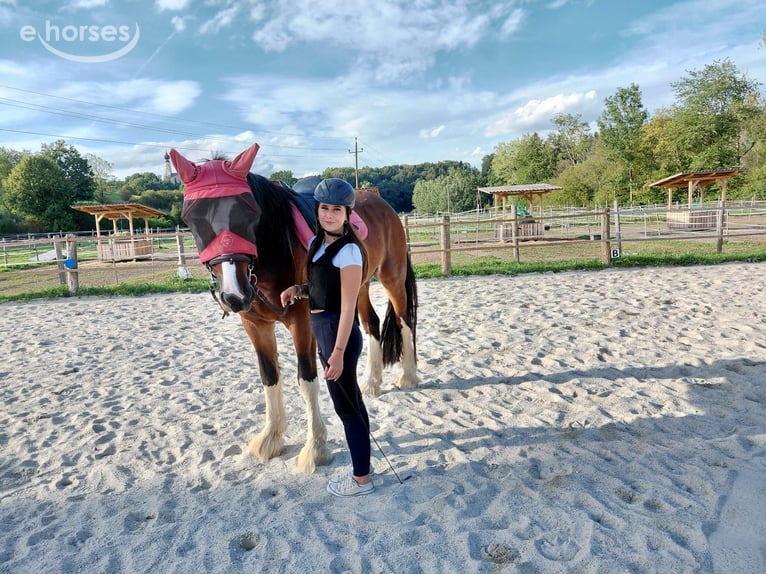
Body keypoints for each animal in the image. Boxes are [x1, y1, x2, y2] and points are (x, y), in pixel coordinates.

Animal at [169, 143, 418, 473]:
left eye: (249, 210)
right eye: (191, 217)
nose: (234, 296)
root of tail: (380, 201)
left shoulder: (302, 322)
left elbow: (307, 379)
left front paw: (315, 449)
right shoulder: (255, 326)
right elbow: (269, 376)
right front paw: (271, 437)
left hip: (392, 276)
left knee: (404, 322)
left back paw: (408, 377)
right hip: (359, 285)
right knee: (372, 324)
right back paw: (371, 382)